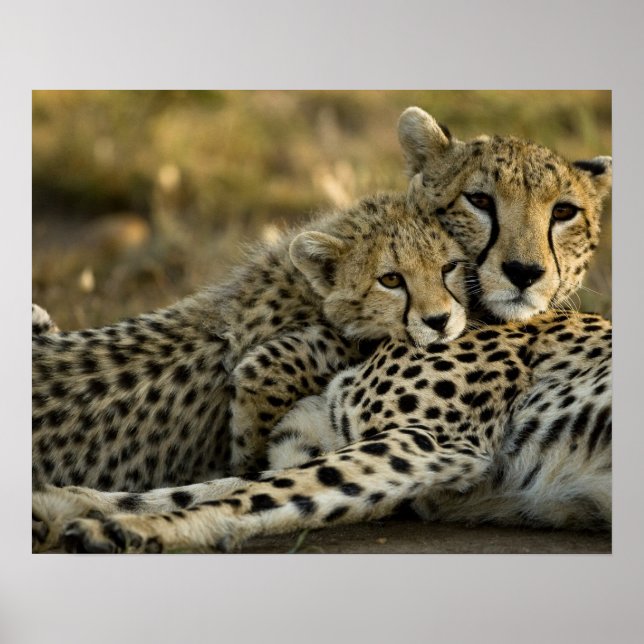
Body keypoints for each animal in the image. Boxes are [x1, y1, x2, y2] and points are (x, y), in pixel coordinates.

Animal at [32, 191, 468, 496]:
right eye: (391, 279)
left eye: (449, 267)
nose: (439, 320)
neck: (303, 287)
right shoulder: (274, 362)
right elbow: (254, 422)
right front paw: (248, 464)